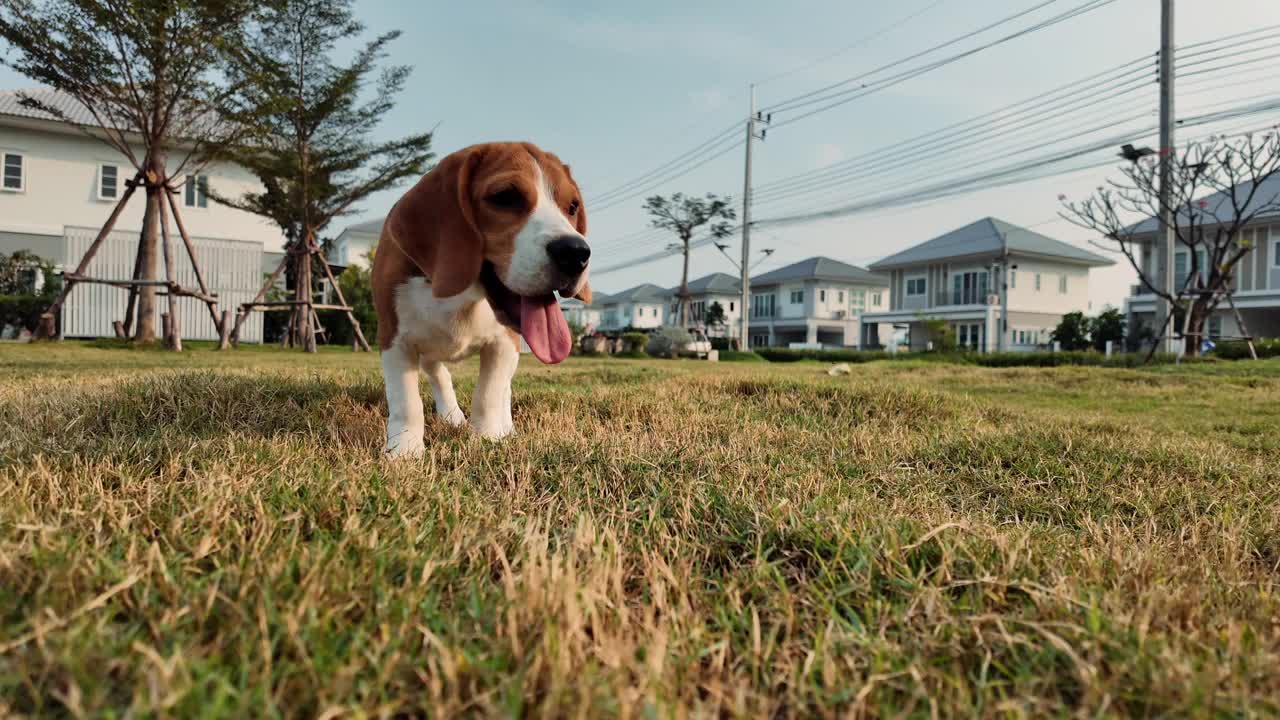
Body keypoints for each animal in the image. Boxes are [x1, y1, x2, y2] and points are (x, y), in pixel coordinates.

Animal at [371, 141, 588, 453]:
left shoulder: (504, 343)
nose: (576, 253)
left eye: (572, 207)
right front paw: (404, 451)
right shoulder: (394, 339)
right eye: (505, 197)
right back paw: (451, 415)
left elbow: (489, 394)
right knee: (438, 373)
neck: (465, 292)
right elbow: (406, 401)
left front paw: (487, 438)